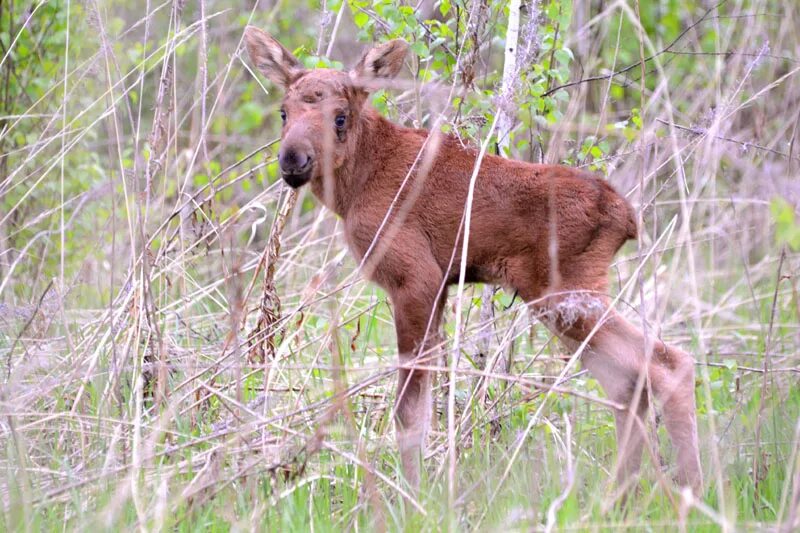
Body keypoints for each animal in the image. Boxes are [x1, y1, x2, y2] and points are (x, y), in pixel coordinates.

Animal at [244, 25, 700, 490]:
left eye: (340, 117)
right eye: (283, 112)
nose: (293, 160)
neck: (357, 184)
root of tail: (627, 218)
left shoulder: (416, 279)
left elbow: (408, 413)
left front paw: (413, 495)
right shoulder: (439, 287)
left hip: (564, 292)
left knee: (664, 365)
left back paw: (688, 489)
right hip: (570, 298)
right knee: (632, 380)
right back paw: (626, 493)